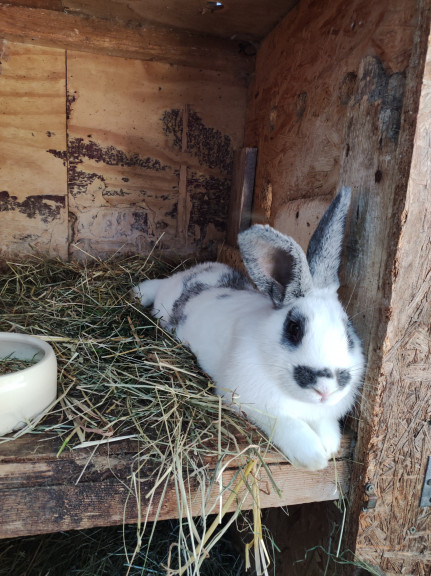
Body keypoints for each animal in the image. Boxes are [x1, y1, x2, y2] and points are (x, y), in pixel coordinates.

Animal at [132, 186, 364, 470]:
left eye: (348, 332)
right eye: (294, 328)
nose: (325, 389)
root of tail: (186, 276)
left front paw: (330, 445)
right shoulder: (252, 403)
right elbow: (289, 426)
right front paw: (316, 457)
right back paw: (140, 291)